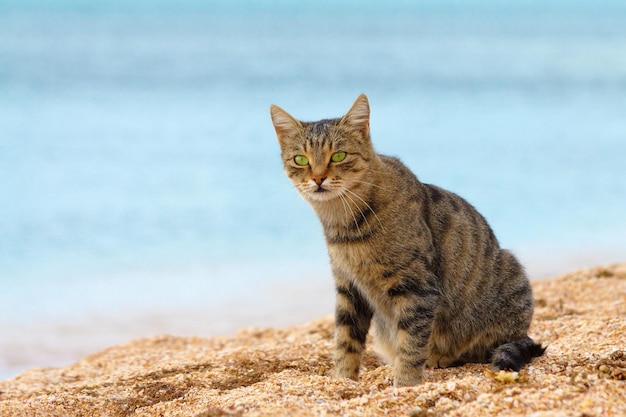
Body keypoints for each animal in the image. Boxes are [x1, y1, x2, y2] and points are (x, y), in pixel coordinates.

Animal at [268, 94, 540, 386]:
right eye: (301, 160)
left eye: (339, 155)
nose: (318, 178)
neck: (345, 224)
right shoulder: (349, 288)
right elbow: (345, 341)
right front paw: (343, 380)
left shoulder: (416, 287)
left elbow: (410, 343)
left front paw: (405, 384)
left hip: (508, 277)